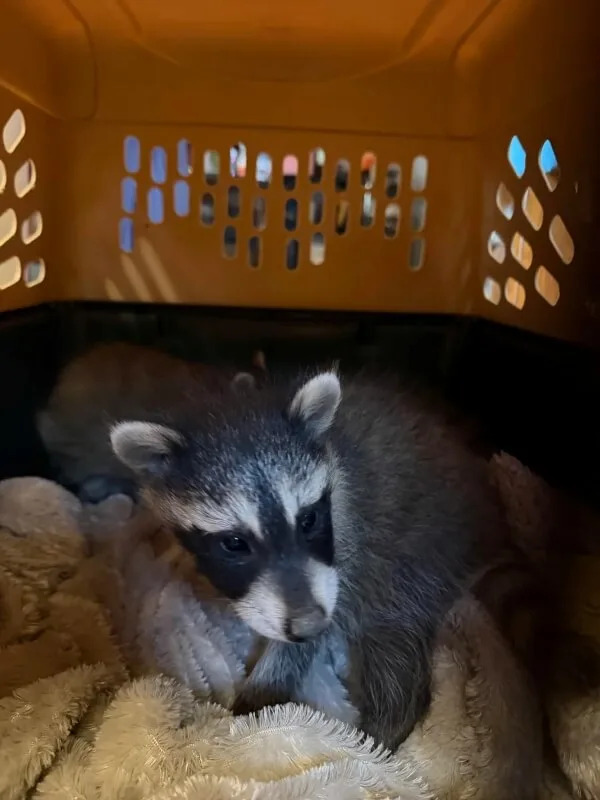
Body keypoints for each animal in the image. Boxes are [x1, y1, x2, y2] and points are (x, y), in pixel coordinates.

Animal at [110, 368, 505, 749]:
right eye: (235, 543)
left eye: (309, 519)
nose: (308, 623)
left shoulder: (348, 545)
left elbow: (307, 640)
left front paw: (259, 699)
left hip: (420, 548)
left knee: (394, 625)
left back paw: (383, 732)